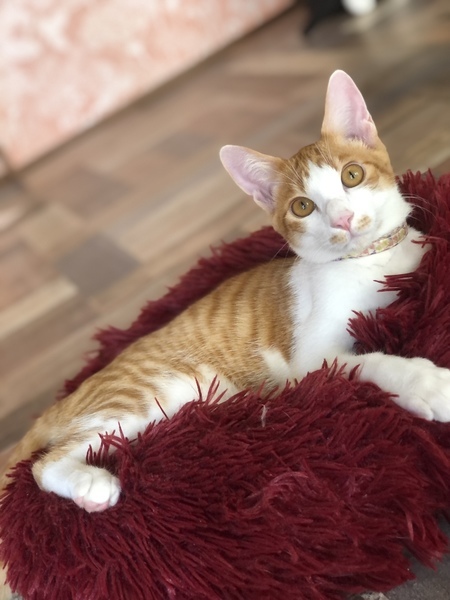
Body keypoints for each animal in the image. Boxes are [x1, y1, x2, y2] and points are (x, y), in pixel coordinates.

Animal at [1, 73, 450, 593]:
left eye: (352, 175)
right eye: (303, 207)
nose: (341, 219)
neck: (374, 262)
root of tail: (66, 398)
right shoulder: (312, 359)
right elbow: (369, 361)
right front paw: (426, 382)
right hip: (148, 396)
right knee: (44, 463)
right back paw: (92, 485)